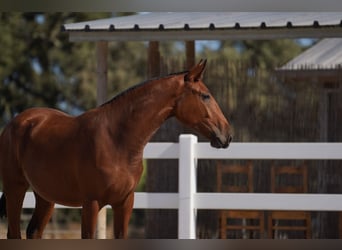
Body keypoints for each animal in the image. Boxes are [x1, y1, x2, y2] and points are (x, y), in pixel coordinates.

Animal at [0, 59, 232, 239]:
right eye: (205, 96)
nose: (227, 135)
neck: (116, 140)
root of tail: (15, 122)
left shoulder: (124, 203)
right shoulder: (91, 204)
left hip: (45, 196)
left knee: (33, 232)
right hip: (15, 188)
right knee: (14, 233)